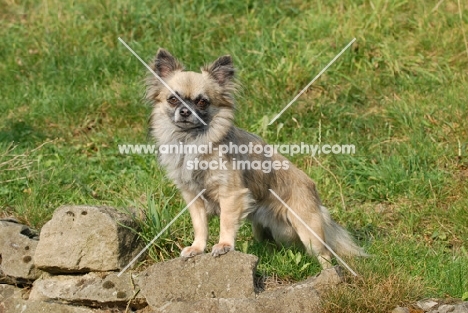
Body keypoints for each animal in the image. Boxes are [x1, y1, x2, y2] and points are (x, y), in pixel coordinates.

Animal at [146, 48, 366, 268]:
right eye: (173, 99)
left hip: (309, 231)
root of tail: (311, 188)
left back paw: (329, 271)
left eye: (202, 102)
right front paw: (197, 248)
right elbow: (200, 226)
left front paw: (224, 245)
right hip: (270, 229)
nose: (184, 111)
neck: (191, 140)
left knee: (324, 254)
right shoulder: (194, 197)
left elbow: (226, 221)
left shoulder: (231, 194)